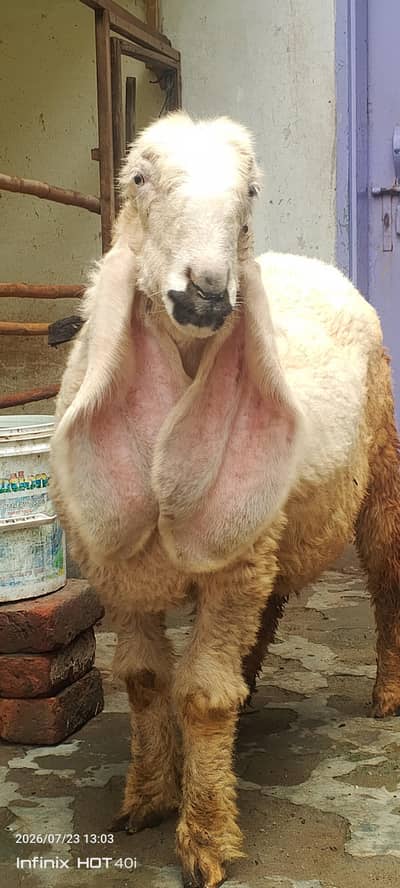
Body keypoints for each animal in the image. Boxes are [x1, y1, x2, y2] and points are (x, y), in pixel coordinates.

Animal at [50, 111, 400, 888]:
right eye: (138, 178)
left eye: (251, 192)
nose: (208, 292)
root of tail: (313, 264)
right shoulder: (121, 569)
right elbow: (144, 680)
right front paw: (147, 797)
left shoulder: (233, 569)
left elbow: (202, 695)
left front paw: (205, 834)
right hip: (263, 527)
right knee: (269, 605)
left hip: (381, 476)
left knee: (389, 584)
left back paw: (388, 692)